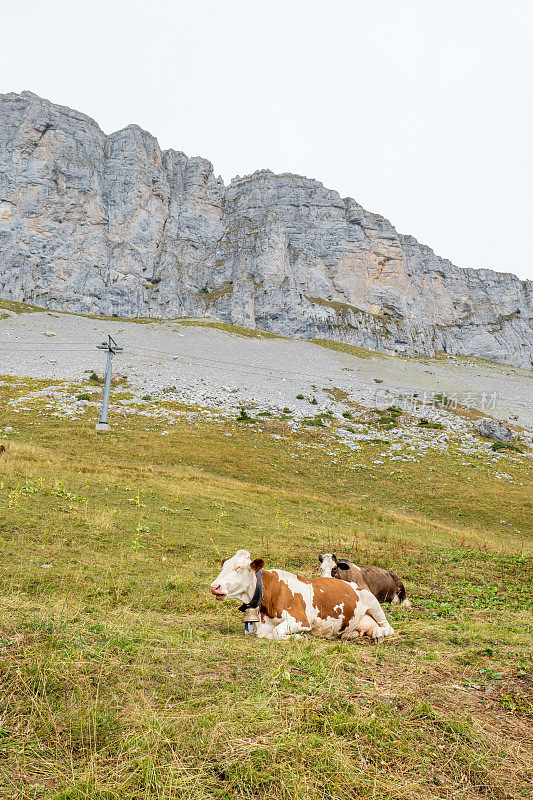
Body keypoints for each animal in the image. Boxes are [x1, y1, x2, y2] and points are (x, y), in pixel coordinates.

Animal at [209, 552, 394, 644]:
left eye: (239, 568)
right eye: (223, 567)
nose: (214, 586)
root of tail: (354, 584)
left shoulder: (300, 620)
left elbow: (276, 632)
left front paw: (301, 637)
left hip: (373, 601)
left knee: (388, 627)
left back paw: (378, 633)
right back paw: (350, 635)